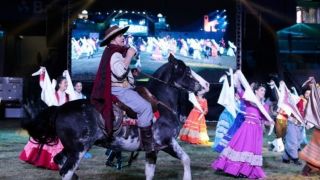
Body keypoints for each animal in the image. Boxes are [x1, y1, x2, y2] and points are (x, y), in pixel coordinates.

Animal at [22, 54, 210, 179]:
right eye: (187, 71)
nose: (207, 84)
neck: (161, 104)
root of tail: (60, 109)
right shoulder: (161, 144)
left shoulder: (162, 146)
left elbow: (184, 159)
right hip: (78, 150)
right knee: (66, 171)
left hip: (70, 148)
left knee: (58, 160)